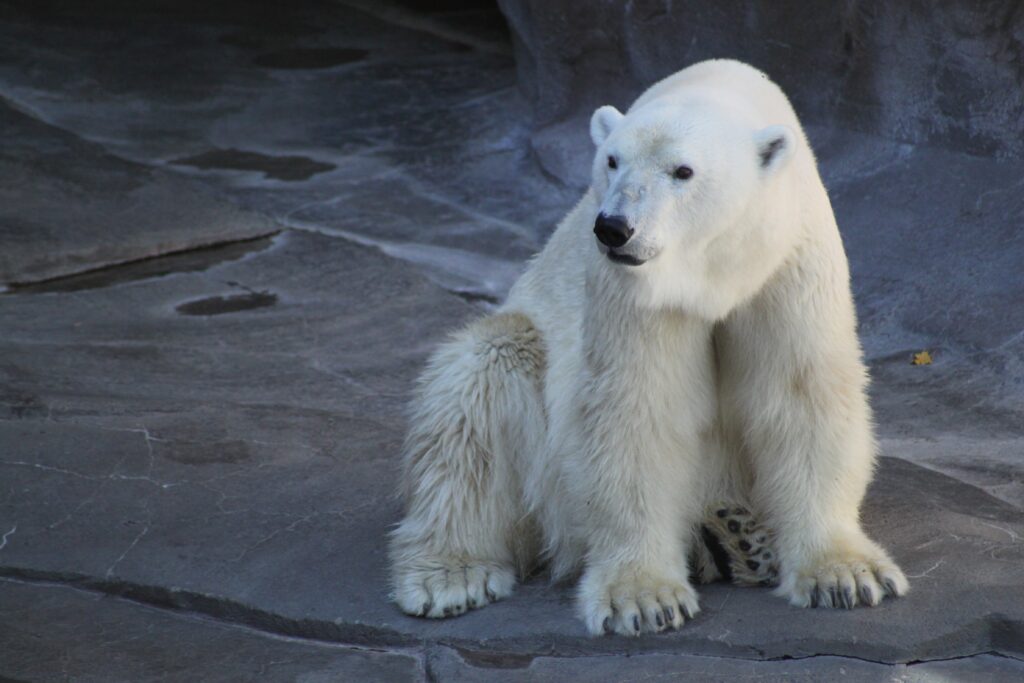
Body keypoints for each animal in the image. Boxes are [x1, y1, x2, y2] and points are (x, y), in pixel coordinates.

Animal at [388, 59, 908, 636]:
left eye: (683, 171)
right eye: (612, 161)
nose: (614, 228)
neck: (713, 274)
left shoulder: (788, 261)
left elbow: (801, 394)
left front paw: (846, 575)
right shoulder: (633, 290)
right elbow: (637, 408)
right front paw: (643, 599)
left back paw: (737, 538)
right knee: (477, 390)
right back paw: (452, 575)